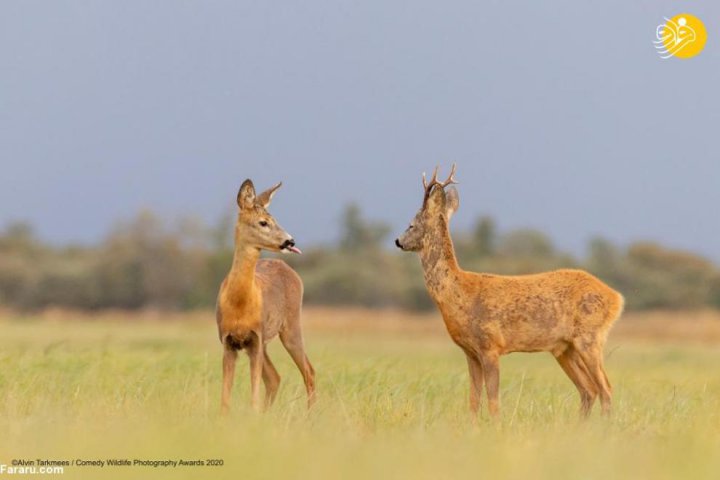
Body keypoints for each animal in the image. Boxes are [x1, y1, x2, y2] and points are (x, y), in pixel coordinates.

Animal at [215, 179, 314, 412]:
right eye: (263, 222)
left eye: (274, 220)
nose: (290, 241)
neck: (240, 304)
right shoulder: (228, 341)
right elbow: (225, 398)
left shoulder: (256, 338)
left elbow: (254, 395)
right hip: (268, 341)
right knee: (275, 378)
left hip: (291, 326)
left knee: (309, 372)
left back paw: (311, 415)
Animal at [394, 165, 624, 416]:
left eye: (411, 224)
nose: (398, 241)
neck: (458, 292)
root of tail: (617, 298)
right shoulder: (470, 352)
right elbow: (473, 400)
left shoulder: (490, 345)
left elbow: (493, 400)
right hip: (565, 348)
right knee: (589, 390)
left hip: (590, 338)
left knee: (606, 388)